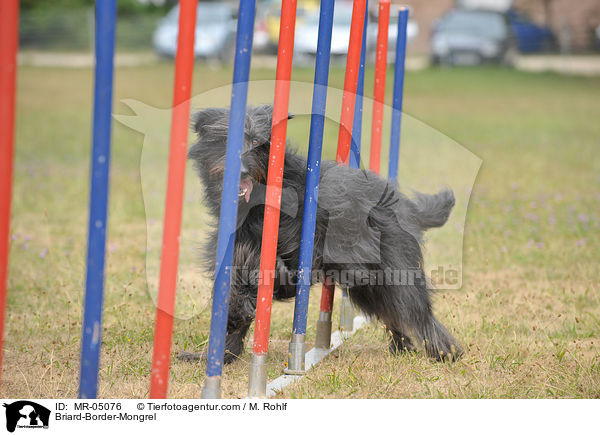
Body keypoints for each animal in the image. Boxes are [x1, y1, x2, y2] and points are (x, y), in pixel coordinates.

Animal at [180, 104, 462, 364]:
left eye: (258, 141)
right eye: (224, 140)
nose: (242, 171)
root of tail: (405, 205)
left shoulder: (300, 249)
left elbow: (262, 273)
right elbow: (236, 283)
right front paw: (220, 353)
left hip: (392, 270)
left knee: (415, 309)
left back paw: (445, 351)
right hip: (368, 285)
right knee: (393, 312)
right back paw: (402, 347)